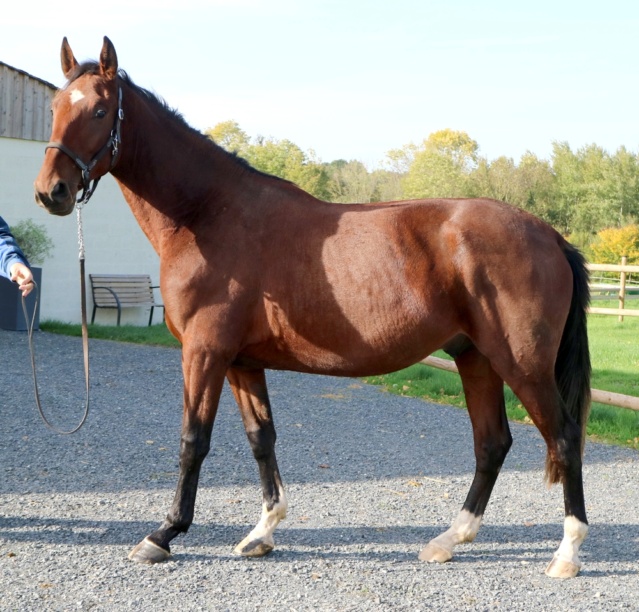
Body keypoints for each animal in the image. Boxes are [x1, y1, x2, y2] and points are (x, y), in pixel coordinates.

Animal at [33, 38, 592, 580]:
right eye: (56, 107)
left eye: (100, 110)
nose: (50, 191)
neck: (208, 214)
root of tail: (550, 236)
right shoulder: (241, 362)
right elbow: (261, 438)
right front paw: (262, 533)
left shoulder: (204, 352)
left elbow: (194, 440)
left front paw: (163, 535)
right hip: (475, 357)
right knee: (492, 443)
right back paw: (449, 540)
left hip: (522, 362)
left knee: (565, 438)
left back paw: (566, 553)